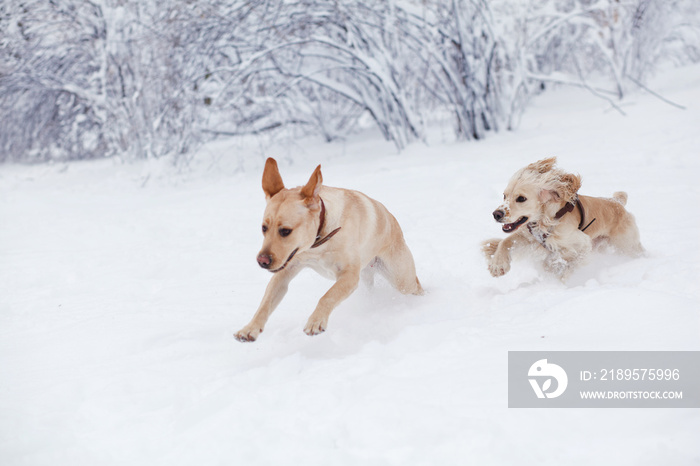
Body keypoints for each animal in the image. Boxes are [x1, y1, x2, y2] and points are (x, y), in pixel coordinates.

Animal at [235, 159, 424, 342]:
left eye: (285, 231)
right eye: (264, 228)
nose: (262, 261)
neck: (319, 240)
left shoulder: (349, 276)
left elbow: (327, 296)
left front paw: (316, 321)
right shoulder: (286, 271)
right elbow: (265, 303)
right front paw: (250, 328)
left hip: (401, 279)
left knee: (415, 286)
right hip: (367, 278)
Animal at [484, 158, 644, 278]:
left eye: (521, 198)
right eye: (504, 196)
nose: (496, 214)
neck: (547, 218)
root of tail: (617, 202)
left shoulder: (581, 243)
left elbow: (563, 257)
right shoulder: (529, 236)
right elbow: (505, 241)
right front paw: (497, 265)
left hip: (626, 245)